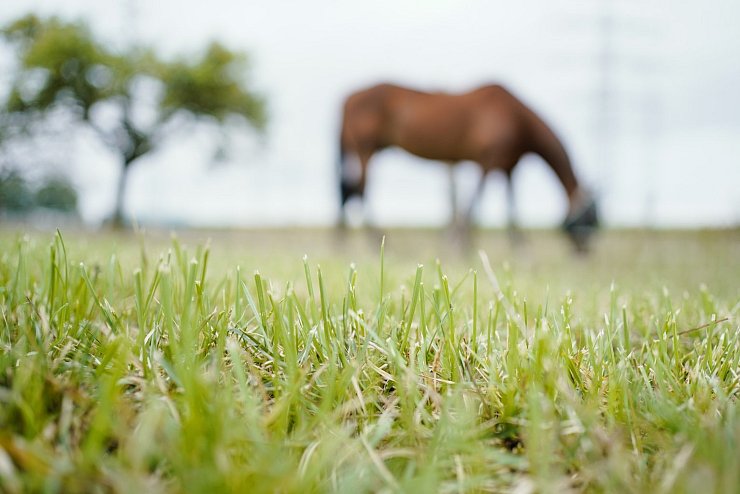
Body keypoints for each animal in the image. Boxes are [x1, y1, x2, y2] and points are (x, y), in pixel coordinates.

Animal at [337, 83, 598, 250]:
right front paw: (460, 244)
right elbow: (474, 204)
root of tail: (348, 97)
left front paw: (520, 248)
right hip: (365, 149)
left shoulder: (508, 166)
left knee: (349, 191)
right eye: (591, 217)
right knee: (360, 189)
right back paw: (376, 242)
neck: (517, 119)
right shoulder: (488, 160)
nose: (585, 251)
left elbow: (510, 207)